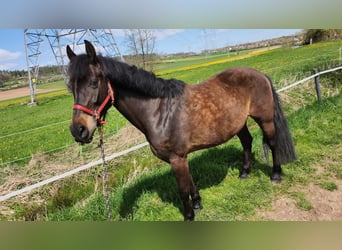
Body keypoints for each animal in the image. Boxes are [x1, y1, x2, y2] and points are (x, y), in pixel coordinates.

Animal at [65, 40, 296, 221]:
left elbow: (182, 190)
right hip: (238, 124)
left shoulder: (177, 158)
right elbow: (191, 182)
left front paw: (189, 216)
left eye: (93, 82)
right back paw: (245, 172)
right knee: (247, 142)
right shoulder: (181, 157)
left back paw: (276, 175)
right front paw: (198, 203)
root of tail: (259, 74)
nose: (78, 130)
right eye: (70, 87)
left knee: (272, 142)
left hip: (265, 119)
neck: (159, 111)